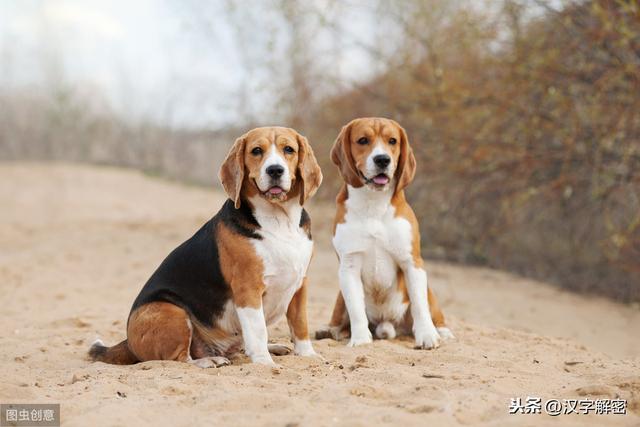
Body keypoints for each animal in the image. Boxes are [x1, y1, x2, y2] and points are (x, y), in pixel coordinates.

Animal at [87, 127, 322, 368]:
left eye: (289, 149)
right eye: (256, 151)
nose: (275, 170)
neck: (279, 219)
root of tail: (128, 341)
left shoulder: (300, 284)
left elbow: (300, 324)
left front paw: (307, 355)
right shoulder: (248, 289)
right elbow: (257, 331)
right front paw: (264, 363)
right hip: (173, 312)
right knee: (181, 359)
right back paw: (208, 360)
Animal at [318, 118, 452, 352]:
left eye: (393, 141)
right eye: (363, 140)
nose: (382, 159)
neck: (373, 204)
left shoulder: (412, 263)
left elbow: (420, 306)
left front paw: (427, 336)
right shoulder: (349, 266)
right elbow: (356, 310)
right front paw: (360, 339)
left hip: (429, 290)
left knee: (432, 313)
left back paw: (442, 332)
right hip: (340, 297)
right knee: (340, 321)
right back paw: (331, 331)